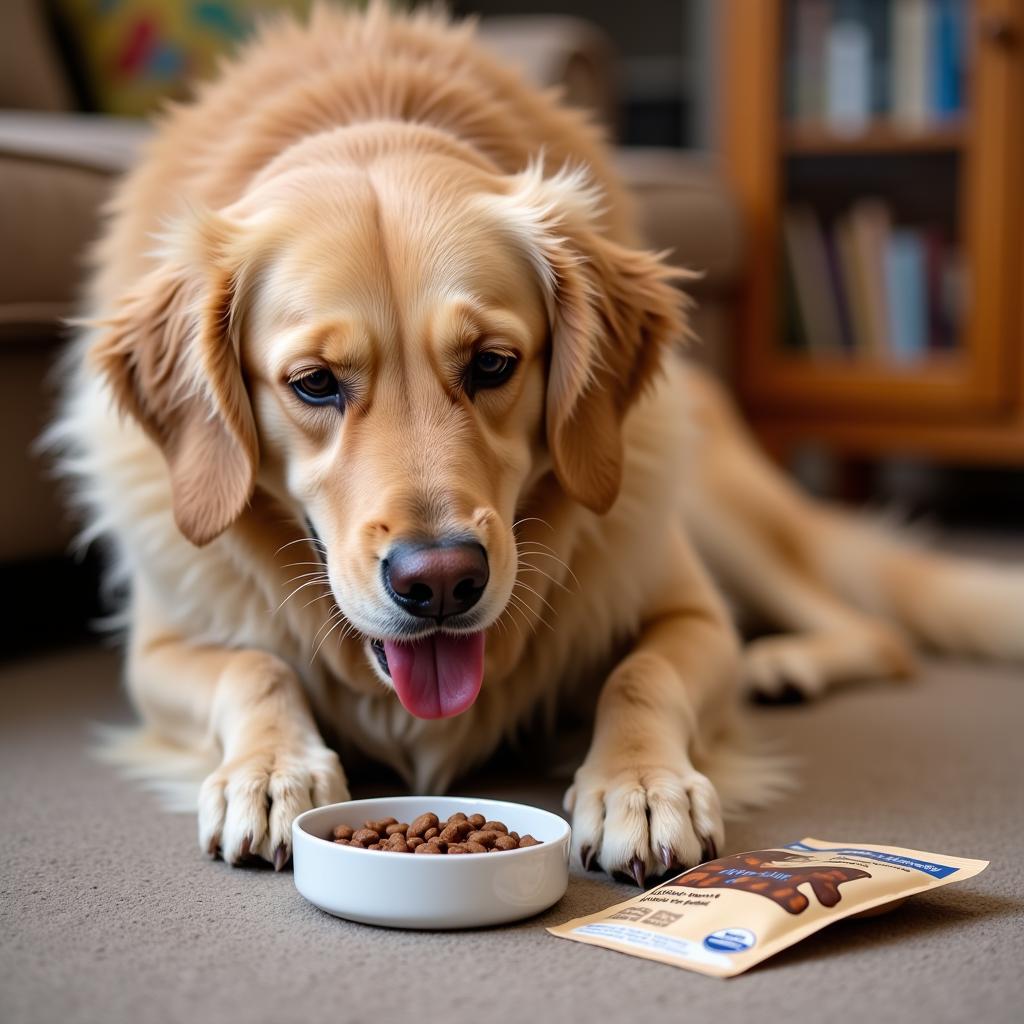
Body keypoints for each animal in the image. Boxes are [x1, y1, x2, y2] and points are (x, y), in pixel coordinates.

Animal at [51, 2, 1024, 880]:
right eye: (315, 383)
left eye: (492, 363)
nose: (440, 583)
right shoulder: (159, 647)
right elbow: (253, 667)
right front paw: (272, 770)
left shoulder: (688, 610)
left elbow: (641, 673)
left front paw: (641, 786)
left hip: (707, 503)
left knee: (871, 629)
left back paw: (782, 662)